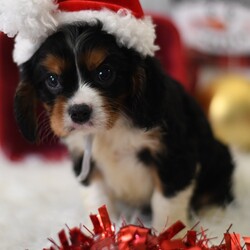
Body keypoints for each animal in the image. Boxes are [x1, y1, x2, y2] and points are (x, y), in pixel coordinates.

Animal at [0, 0, 234, 229]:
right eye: (52, 80)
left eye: (105, 73)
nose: (79, 112)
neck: (110, 129)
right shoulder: (85, 160)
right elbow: (98, 201)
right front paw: (106, 231)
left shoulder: (174, 155)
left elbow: (166, 206)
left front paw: (166, 235)